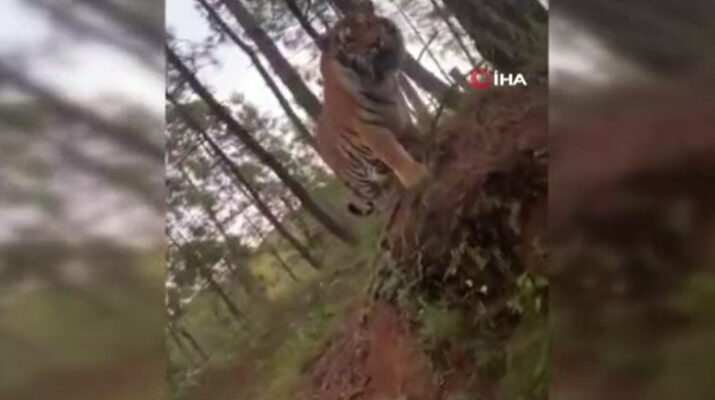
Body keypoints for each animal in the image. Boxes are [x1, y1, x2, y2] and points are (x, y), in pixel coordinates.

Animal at [316, 0, 429, 216]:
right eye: (350, 40)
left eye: (368, 24)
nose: (376, 42)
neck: (380, 80)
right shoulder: (370, 130)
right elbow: (394, 154)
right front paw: (417, 176)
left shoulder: (401, 118)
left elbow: (416, 137)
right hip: (361, 181)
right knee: (379, 199)